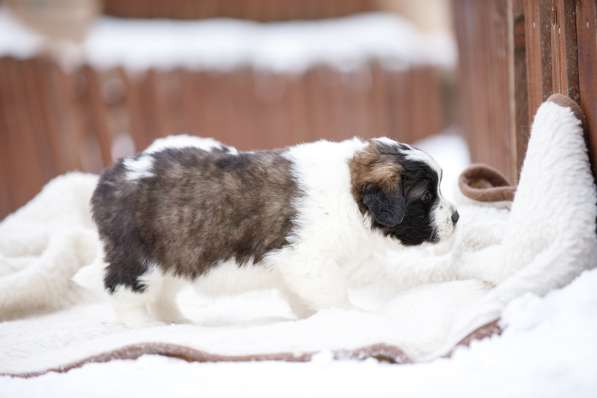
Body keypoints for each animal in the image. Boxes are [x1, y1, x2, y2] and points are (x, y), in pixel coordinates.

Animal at [91, 135, 458, 324]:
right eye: (426, 196)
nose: (456, 217)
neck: (349, 196)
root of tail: (110, 177)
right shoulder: (308, 261)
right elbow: (333, 294)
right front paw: (351, 317)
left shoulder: (293, 267)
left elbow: (301, 296)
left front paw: (310, 317)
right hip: (138, 259)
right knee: (123, 293)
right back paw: (147, 327)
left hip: (176, 255)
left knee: (163, 295)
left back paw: (177, 323)